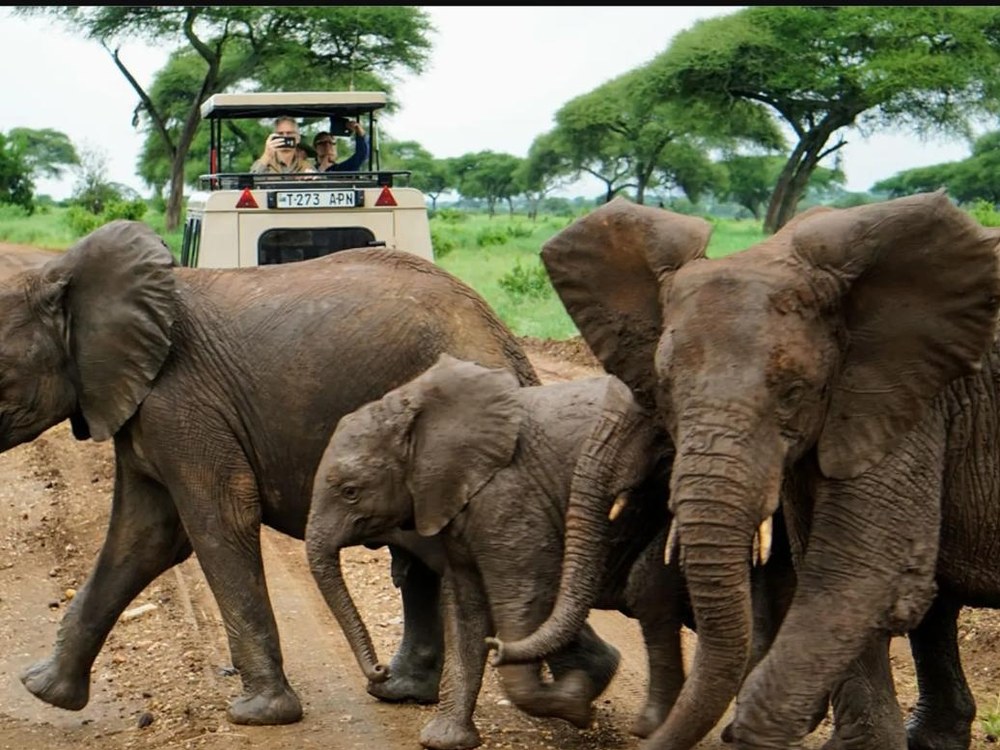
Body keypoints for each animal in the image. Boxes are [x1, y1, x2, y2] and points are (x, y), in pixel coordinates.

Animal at [0, 219, 545, 727]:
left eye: (2, 378)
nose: (372, 671)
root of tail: (508, 344)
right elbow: (144, 536)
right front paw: (43, 689)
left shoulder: (180, 404)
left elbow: (220, 520)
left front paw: (260, 714)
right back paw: (400, 691)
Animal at [306, 353, 685, 750]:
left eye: (350, 491)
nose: (379, 670)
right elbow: (465, 608)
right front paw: (445, 740)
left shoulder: (510, 502)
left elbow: (521, 601)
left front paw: (578, 702)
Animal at [489, 191, 1000, 750]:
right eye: (665, 390)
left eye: (795, 392)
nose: (495, 647)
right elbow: (837, 579)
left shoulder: (907, 394)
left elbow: (860, 574)